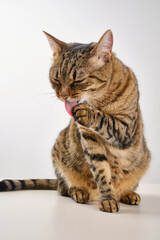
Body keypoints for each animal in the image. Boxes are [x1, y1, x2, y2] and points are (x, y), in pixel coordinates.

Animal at [0, 29, 151, 212]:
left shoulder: (127, 129)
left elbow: (108, 121)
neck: (100, 101)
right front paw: (108, 198)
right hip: (59, 153)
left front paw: (88, 112)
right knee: (63, 188)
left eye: (78, 80)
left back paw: (128, 193)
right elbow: (101, 172)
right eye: (56, 79)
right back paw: (78, 191)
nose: (63, 95)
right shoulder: (89, 139)